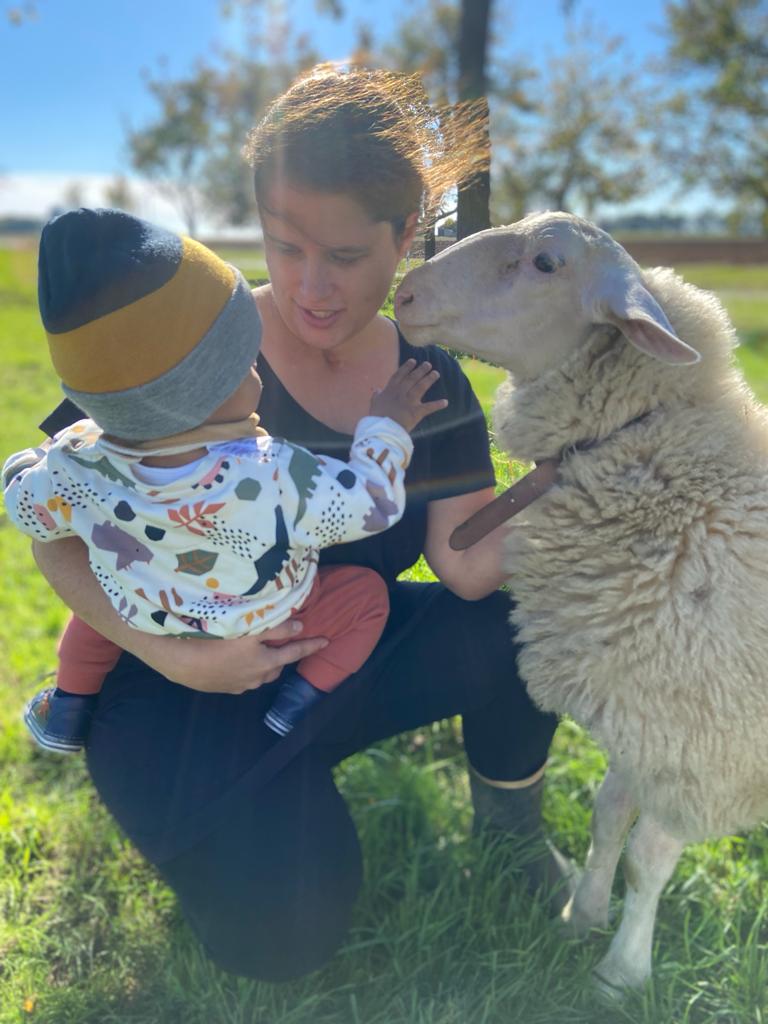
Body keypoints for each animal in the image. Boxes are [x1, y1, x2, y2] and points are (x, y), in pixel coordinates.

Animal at [394, 211, 768, 993]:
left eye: (545, 262)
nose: (405, 295)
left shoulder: (705, 740)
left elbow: (648, 858)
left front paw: (620, 973)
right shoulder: (642, 697)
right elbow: (608, 817)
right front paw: (581, 916)